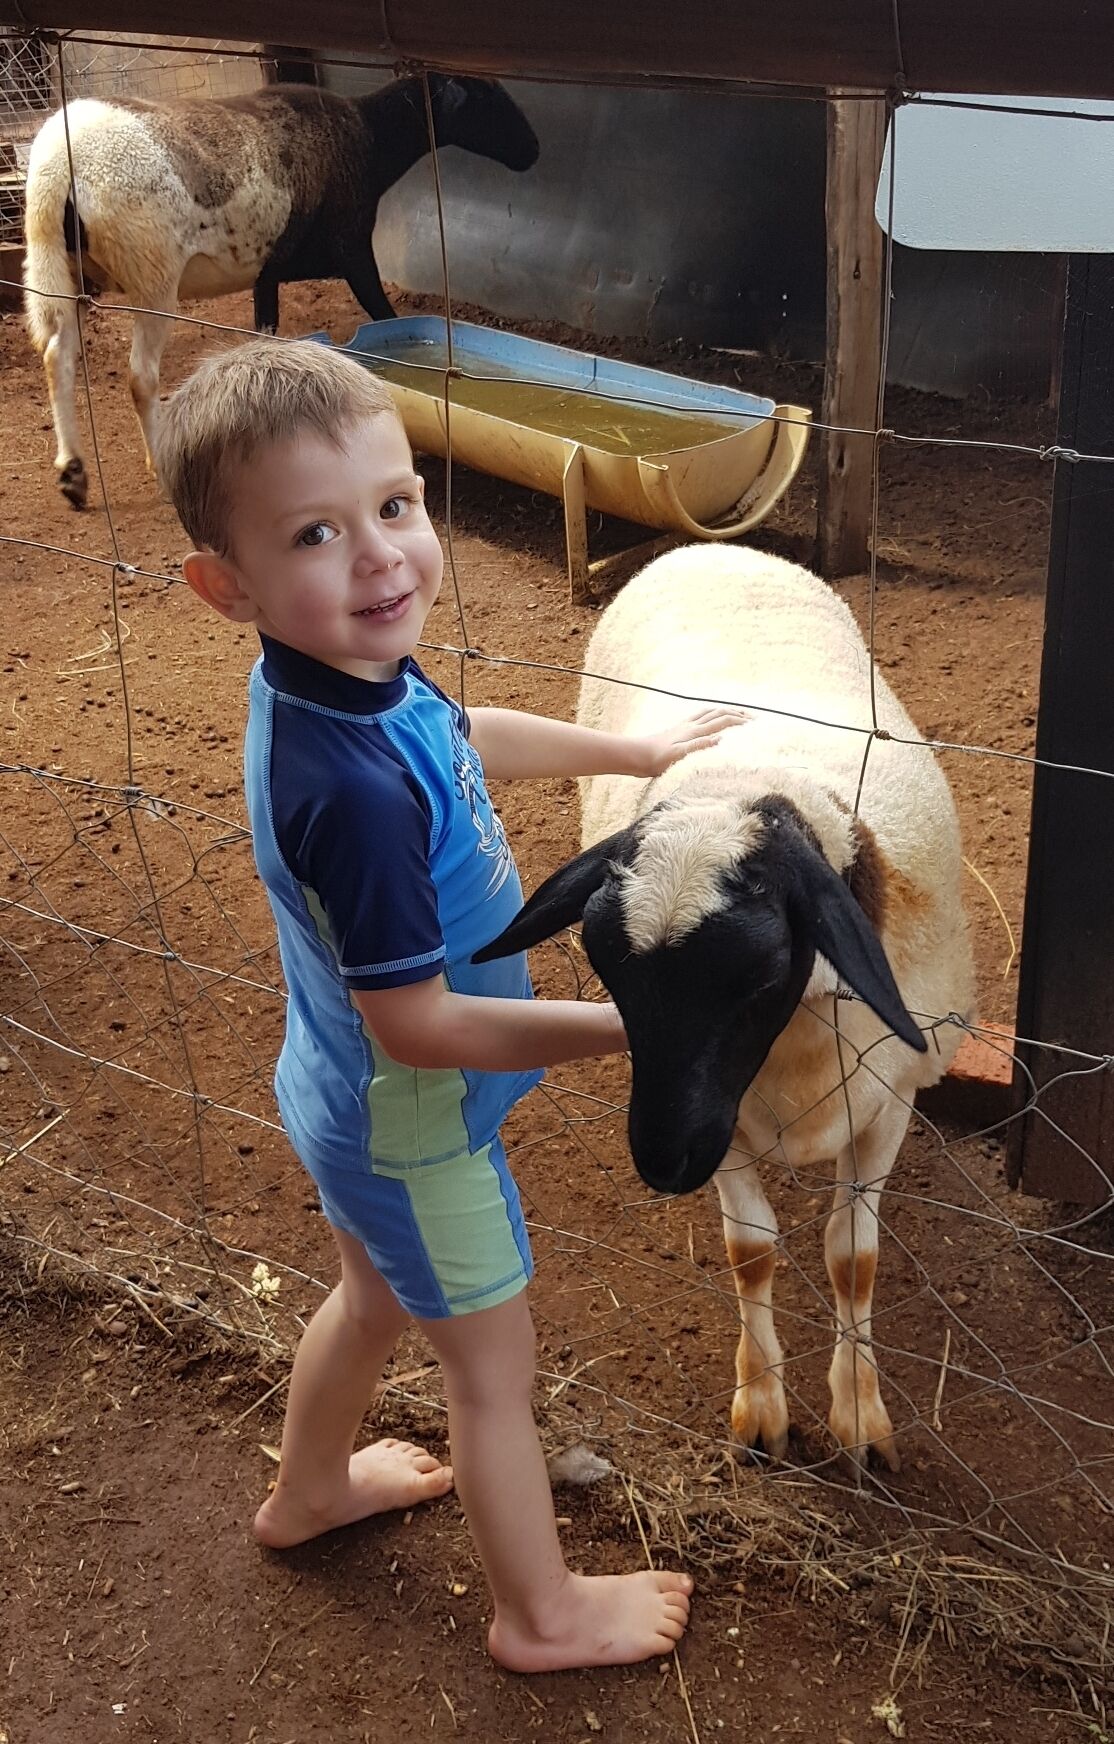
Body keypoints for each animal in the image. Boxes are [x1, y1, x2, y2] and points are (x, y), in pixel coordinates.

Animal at [22, 73, 538, 508]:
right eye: (486, 96)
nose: (533, 151)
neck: (371, 139)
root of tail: (58, 167)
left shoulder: (266, 273)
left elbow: (264, 340)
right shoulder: (353, 248)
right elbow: (384, 314)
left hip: (57, 266)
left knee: (57, 355)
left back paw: (72, 473)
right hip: (153, 272)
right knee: (139, 377)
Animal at [476, 544, 975, 1470]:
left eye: (762, 970)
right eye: (608, 968)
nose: (663, 1161)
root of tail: (700, 545)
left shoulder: (889, 1099)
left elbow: (852, 1258)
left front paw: (860, 1418)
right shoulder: (725, 1119)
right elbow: (753, 1253)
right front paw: (762, 1411)